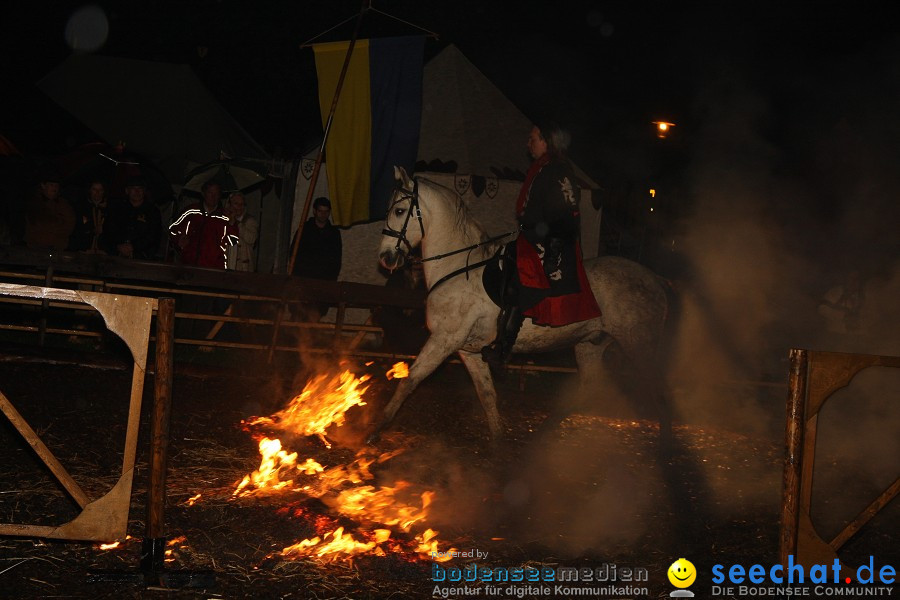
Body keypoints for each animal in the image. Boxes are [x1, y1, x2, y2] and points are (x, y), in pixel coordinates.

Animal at [370, 168, 672, 440]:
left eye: (399, 211)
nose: (385, 258)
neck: (457, 268)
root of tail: (656, 278)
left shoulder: (443, 340)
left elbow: (410, 380)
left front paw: (375, 430)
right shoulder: (467, 350)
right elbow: (487, 394)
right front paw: (498, 440)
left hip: (638, 343)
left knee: (659, 388)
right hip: (590, 344)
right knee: (589, 387)